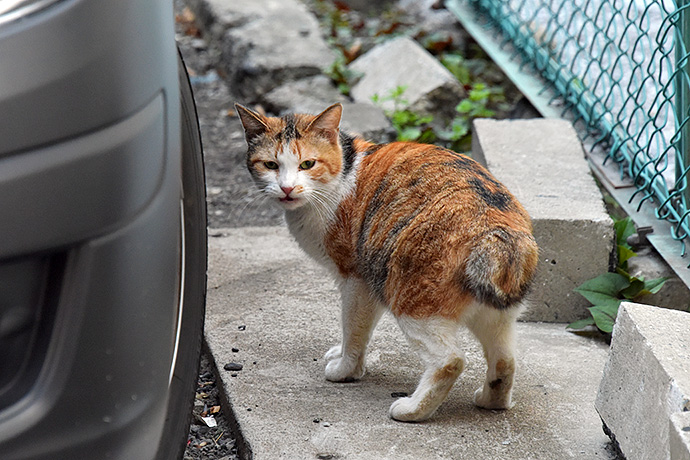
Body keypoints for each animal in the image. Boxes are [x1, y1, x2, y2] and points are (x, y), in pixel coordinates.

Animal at [235, 102, 536, 422]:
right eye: (271, 165)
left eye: (307, 164)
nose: (287, 188)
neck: (344, 171)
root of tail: (496, 229)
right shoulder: (369, 279)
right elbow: (358, 330)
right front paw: (343, 357)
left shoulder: (356, 279)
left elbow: (353, 329)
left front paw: (345, 370)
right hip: (494, 315)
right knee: (505, 360)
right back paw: (492, 401)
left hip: (408, 296)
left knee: (450, 360)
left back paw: (413, 410)